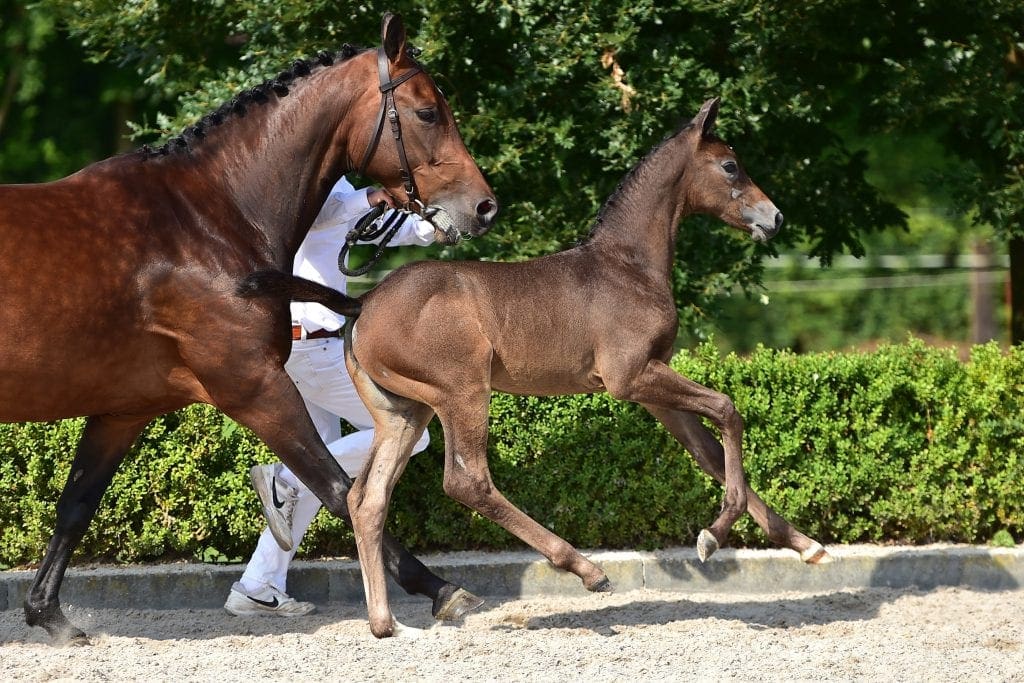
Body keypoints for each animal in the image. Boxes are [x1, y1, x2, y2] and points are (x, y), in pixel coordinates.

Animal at [0, 13, 497, 644]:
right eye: (429, 112)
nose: (484, 207)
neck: (202, 221)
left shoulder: (123, 408)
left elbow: (75, 505)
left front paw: (49, 614)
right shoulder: (254, 386)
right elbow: (340, 490)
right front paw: (440, 590)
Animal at [244, 97, 833, 638]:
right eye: (731, 166)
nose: (775, 217)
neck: (627, 267)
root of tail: (362, 304)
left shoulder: (652, 388)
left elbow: (708, 451)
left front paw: (806, 546)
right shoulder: (631, 378)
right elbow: (728, 410)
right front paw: (714, 535)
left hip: (403, 412)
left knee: (367, 498)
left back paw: (385, 623)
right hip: (462, 391)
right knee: (467, 481)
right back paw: (585, 569)